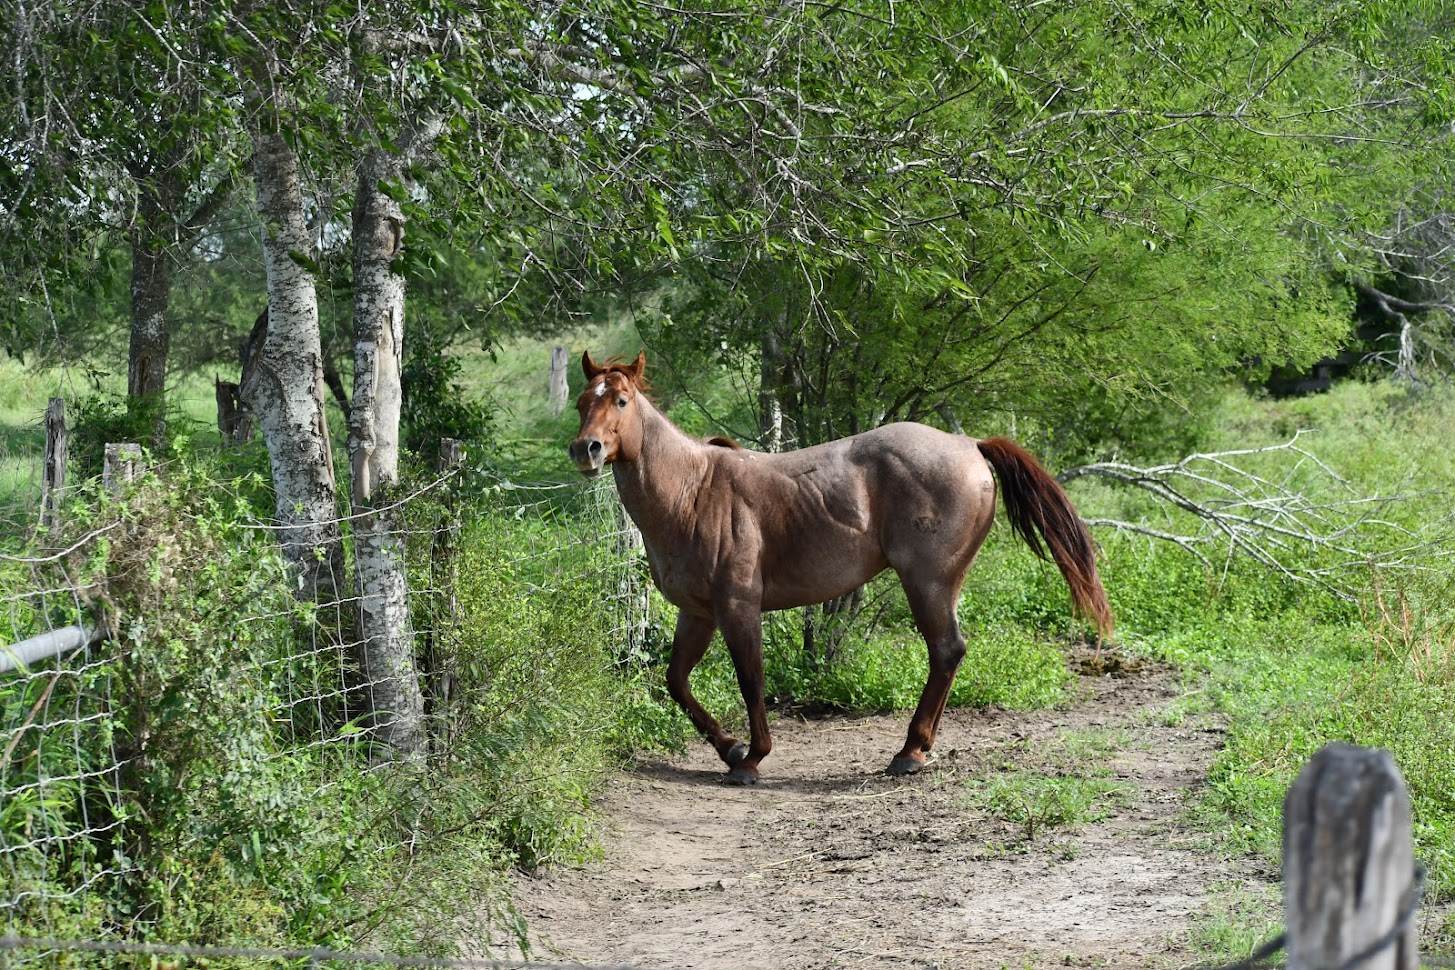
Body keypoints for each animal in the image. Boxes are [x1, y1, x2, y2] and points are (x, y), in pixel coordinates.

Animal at [570, 353, 1111, 785]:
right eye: (581, 403)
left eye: (621, 401)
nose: (585, 450)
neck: (694, 491)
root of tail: (970, 445)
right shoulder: (698, 613)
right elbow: (677, 682)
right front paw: (731, 748)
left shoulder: (738, 607)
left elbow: (751, 679)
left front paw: (752, 758)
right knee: (949, 653)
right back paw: (917, 748)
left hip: (927, 582)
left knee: (945, 650)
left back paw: (909, 752)